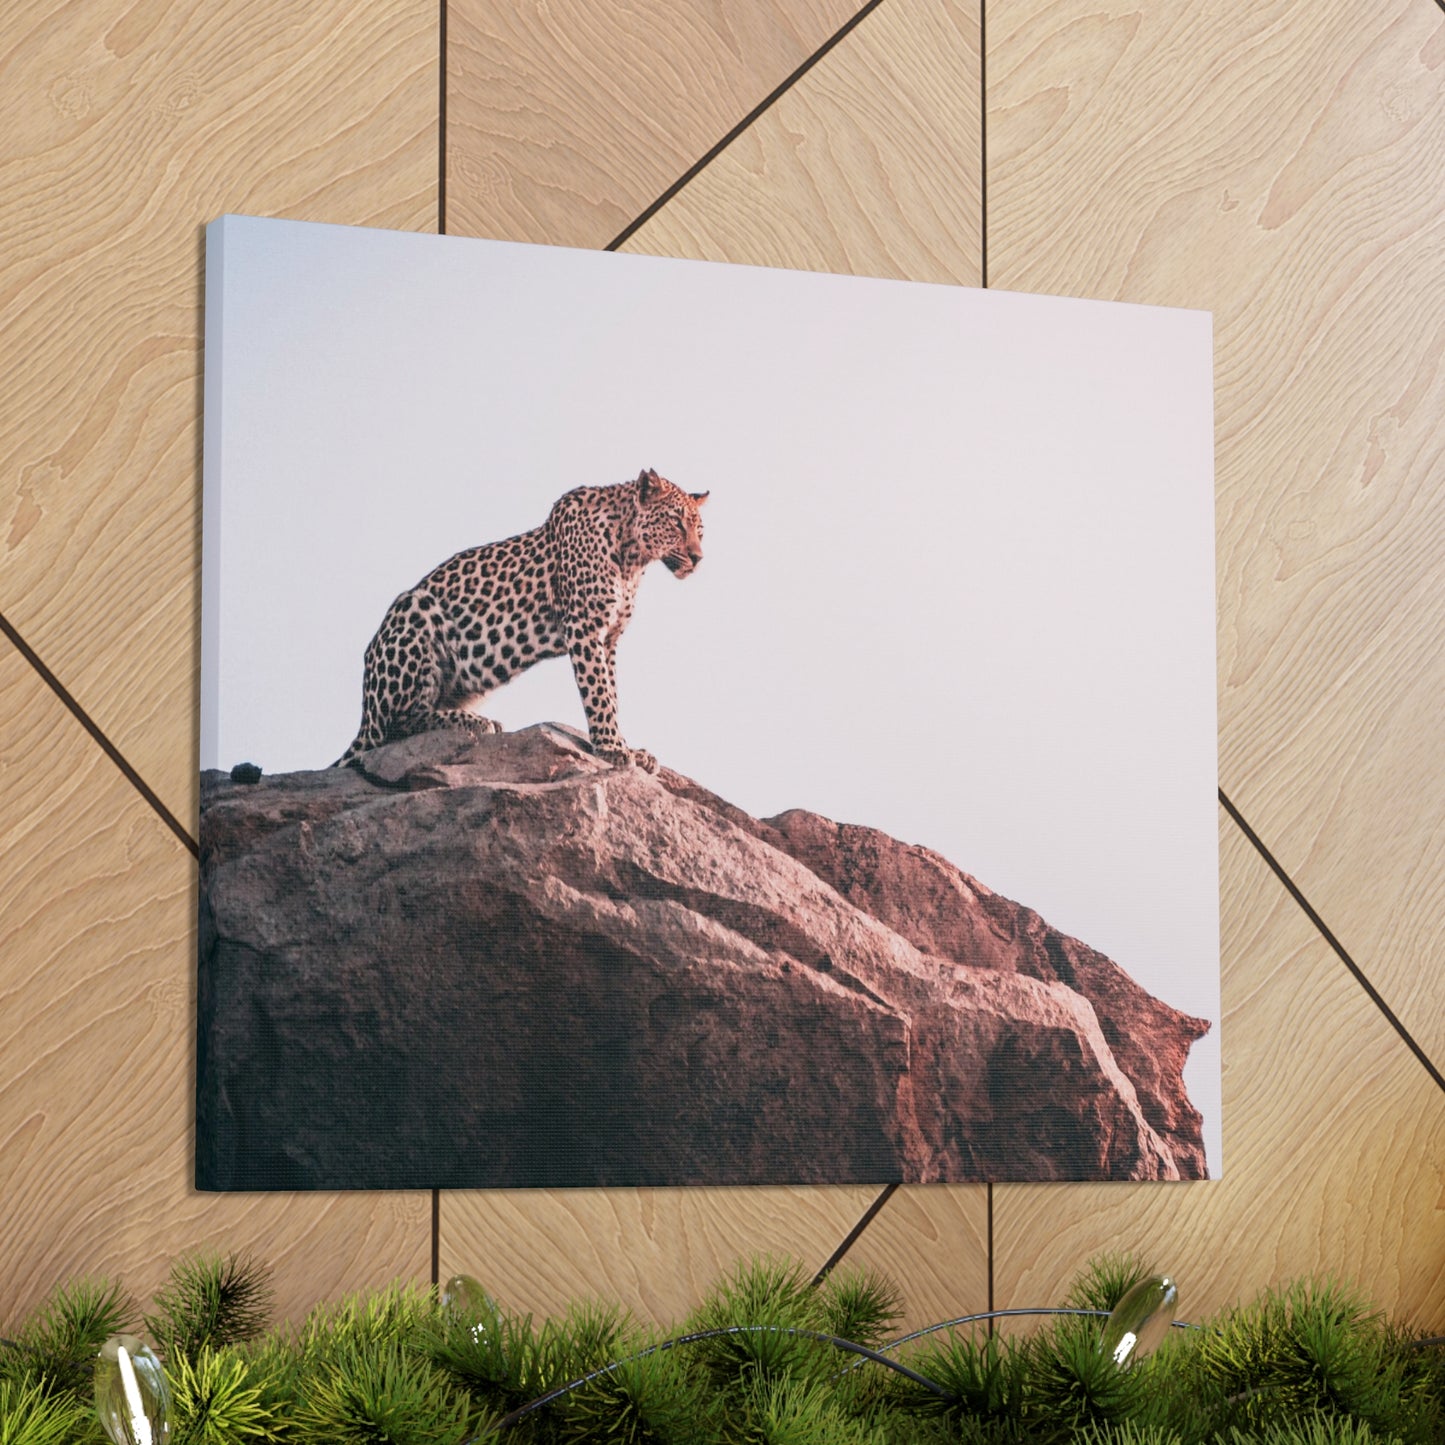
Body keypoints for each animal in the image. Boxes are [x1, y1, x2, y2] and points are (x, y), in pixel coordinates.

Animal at [334, 468, 708, 772]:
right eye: (676, 522)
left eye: (700, 530)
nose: (698, 558)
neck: (632, 558)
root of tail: (365, 714)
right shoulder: (585, 628)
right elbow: (599, 693)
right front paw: (613, 749)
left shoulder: (609, 638)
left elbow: (612, 694)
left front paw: (628, 747)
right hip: (414, 609)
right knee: (397, 725)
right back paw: (474, 722)